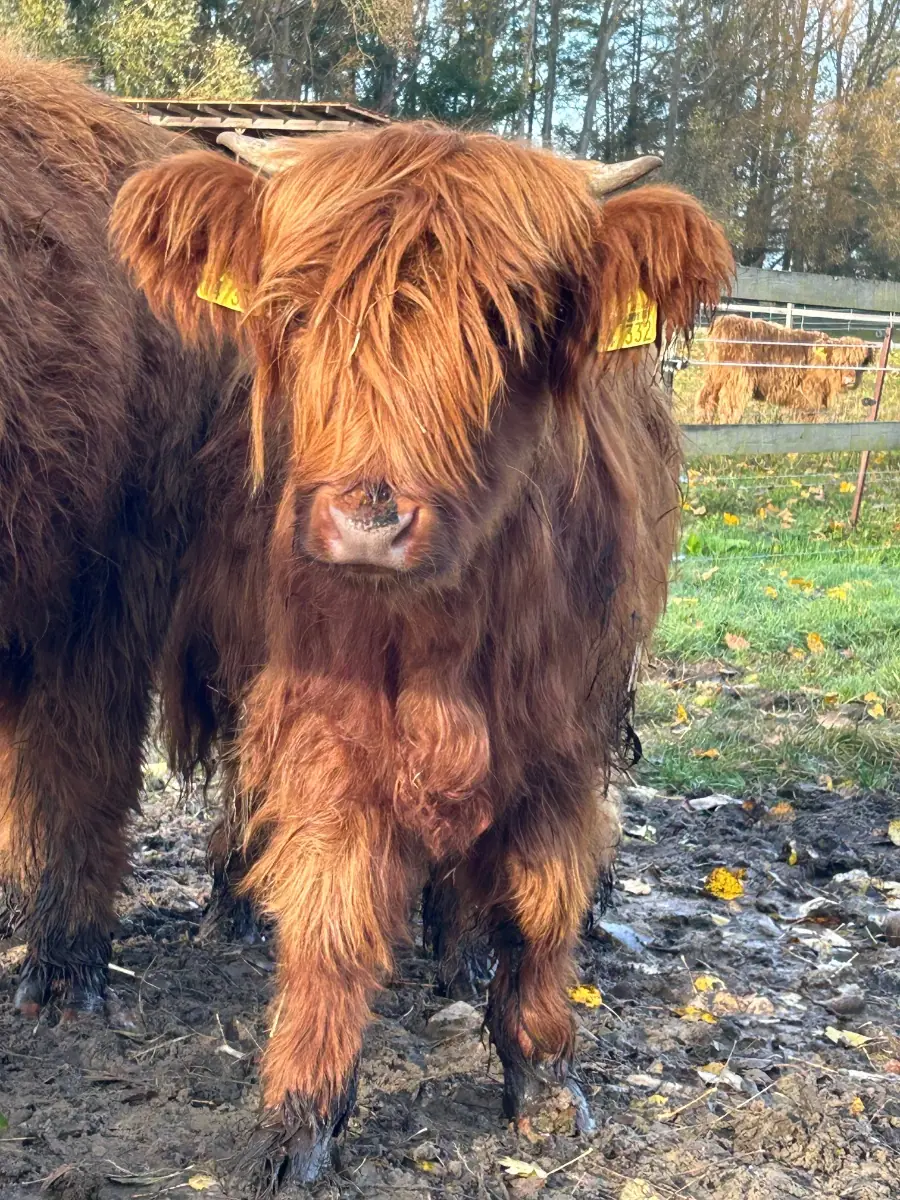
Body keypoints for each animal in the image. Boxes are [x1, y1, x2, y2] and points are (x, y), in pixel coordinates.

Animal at [112, 125, 734, 1189]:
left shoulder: (563, 737)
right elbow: (330, 914)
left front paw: (544, 1078)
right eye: (295, 314)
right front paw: (301, 1117)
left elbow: (542, 905)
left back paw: (456, 952)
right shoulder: (323, 722)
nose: (369, 519)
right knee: (245, 786)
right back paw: (232, 902)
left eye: (506, 322)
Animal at [696, 314, 873, 422]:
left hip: (714, 378)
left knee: (706, 399)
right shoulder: (809, 395)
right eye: (840, 361)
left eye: (861, 362)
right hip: (737, 381)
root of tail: (725, 320)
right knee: (729, 408)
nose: (849, 379)